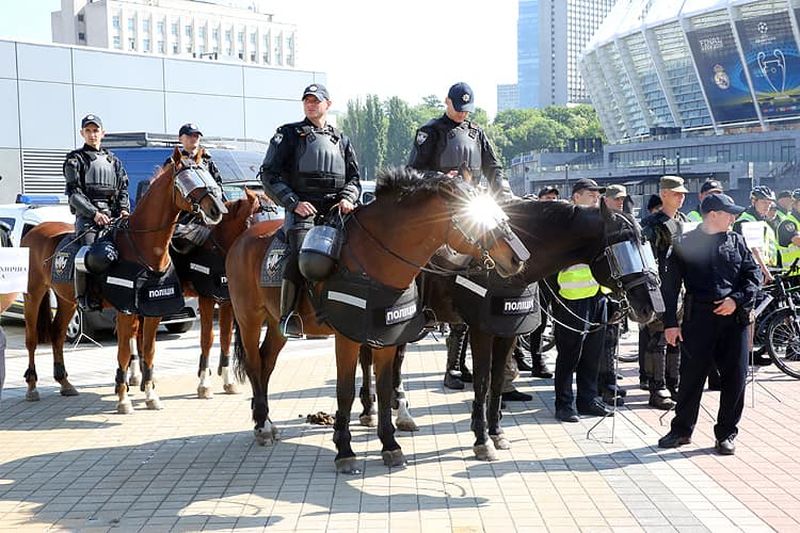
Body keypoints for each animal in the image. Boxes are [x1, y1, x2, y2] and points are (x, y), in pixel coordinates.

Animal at [20, 150, 227, 412]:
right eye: (188, 179)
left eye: (207, 175)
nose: (217, 210)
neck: (144, 246)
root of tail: (34, 232)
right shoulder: (125, 311)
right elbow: (124, 353)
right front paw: (123, 398)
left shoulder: (153, 310)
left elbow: (148, 350)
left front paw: (150, 394)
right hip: (33, 294)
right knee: (31, 339)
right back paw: (32, 387)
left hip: (67, 301)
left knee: (57, 334)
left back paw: (65, 383)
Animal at [230, 168, 532, 472]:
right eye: (472, 217)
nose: (518, 258)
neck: (374, 257)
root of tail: (243, 238)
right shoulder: (348, 337)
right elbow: (345, 391)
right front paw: (345, 450)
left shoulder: (388, 334)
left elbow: (386, 388)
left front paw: (390, 444)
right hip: (249, 319)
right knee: (254, 365)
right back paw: (262, 426)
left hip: (276, 324)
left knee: (267, 363)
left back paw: (268, 421)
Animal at [360, 197, 664, 460]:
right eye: (622, 252)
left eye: (646, 248)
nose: (650, 308)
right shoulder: (481, 331)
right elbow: (482, 383)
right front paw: (482, 440)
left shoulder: (507, 333)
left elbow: (496, 382)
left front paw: (496, 432)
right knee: (370, 361)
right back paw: (371, 410)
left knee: (395, 365)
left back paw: (401, 414)